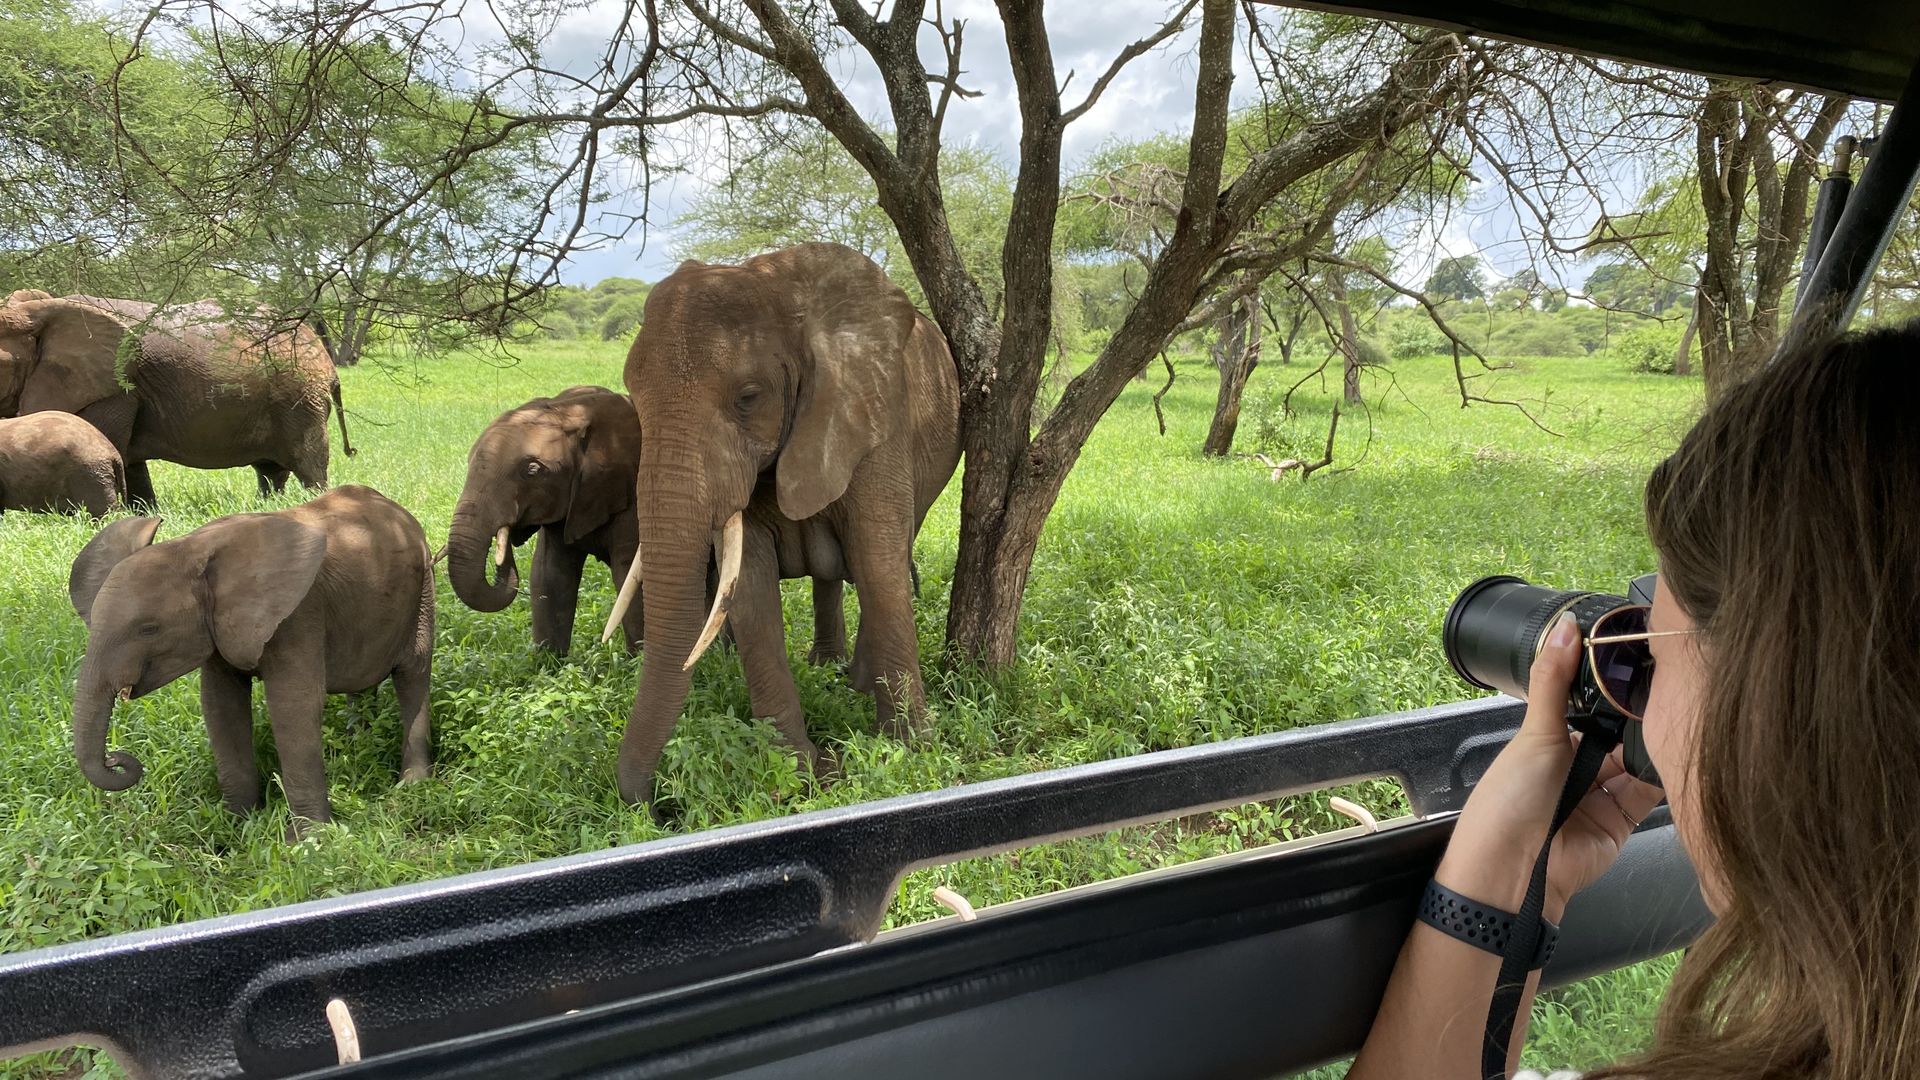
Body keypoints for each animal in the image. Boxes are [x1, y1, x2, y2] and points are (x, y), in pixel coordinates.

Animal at [0, 288, 357, 503]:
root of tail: (326, 359)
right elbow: (131, 465)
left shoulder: (114, 390)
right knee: (271, 471)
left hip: (300, 396)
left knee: (308, 464)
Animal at [64, 484, 435, 826]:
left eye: (149, 629)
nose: (117, 759)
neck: (190, 547)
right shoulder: (219, 627)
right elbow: (220, 705)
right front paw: (236, 825)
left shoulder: (299, 613)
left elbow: (293, 704)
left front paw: (308, 839)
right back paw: (358, 743)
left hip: (423, 587)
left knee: (413, 673)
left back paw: (412, 785)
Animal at [599, 239, 960, 803]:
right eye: (633, 399)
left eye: (748, 398)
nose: (659, 806)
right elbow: (750, 589)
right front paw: (803, 777)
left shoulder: (876, 418)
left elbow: (878, 564)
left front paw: (906, 751)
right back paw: (830, 670)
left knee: (884, 562)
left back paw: (855, 683)